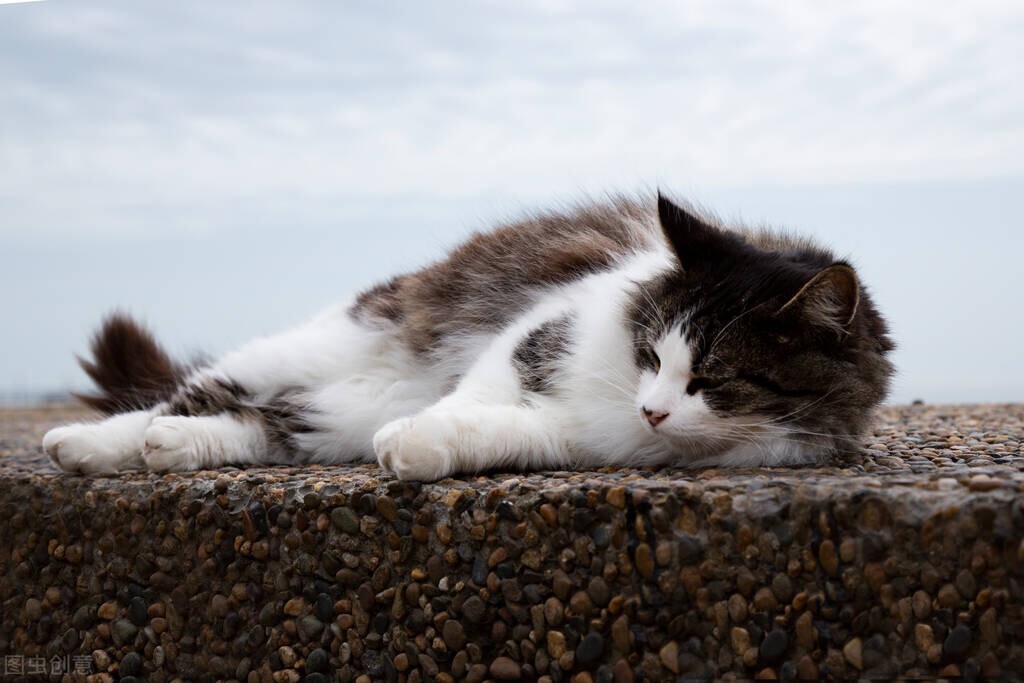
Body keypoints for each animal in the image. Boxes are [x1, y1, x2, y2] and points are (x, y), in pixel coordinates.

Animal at [41, 192, 888, 483]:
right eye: (651, 353)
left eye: (710, 379)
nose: (651, 408)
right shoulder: (536, 332)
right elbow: (474, 394)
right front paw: (415, 436)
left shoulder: (576, 436)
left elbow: (496, 430)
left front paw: (417, 448)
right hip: (313, 345)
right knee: (177, 399)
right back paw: (87, 445)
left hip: (329, 418)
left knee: (255, 425)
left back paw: (173, 449)